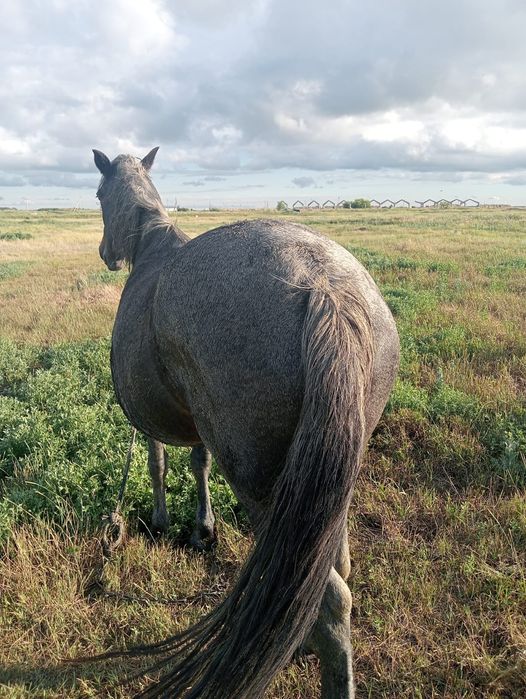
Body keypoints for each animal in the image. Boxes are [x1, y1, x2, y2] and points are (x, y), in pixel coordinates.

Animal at [92, 147, 399, 699]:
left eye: (100, 194)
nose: (106, 254)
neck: (151, 244)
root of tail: (326, 289)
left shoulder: (150, 422)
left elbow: (157, 463)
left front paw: (164, 523)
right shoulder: (199, 423)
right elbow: (198, 462)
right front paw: (203, 530)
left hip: (264, 487)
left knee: (331, 600)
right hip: (331, 478)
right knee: (333, 568)